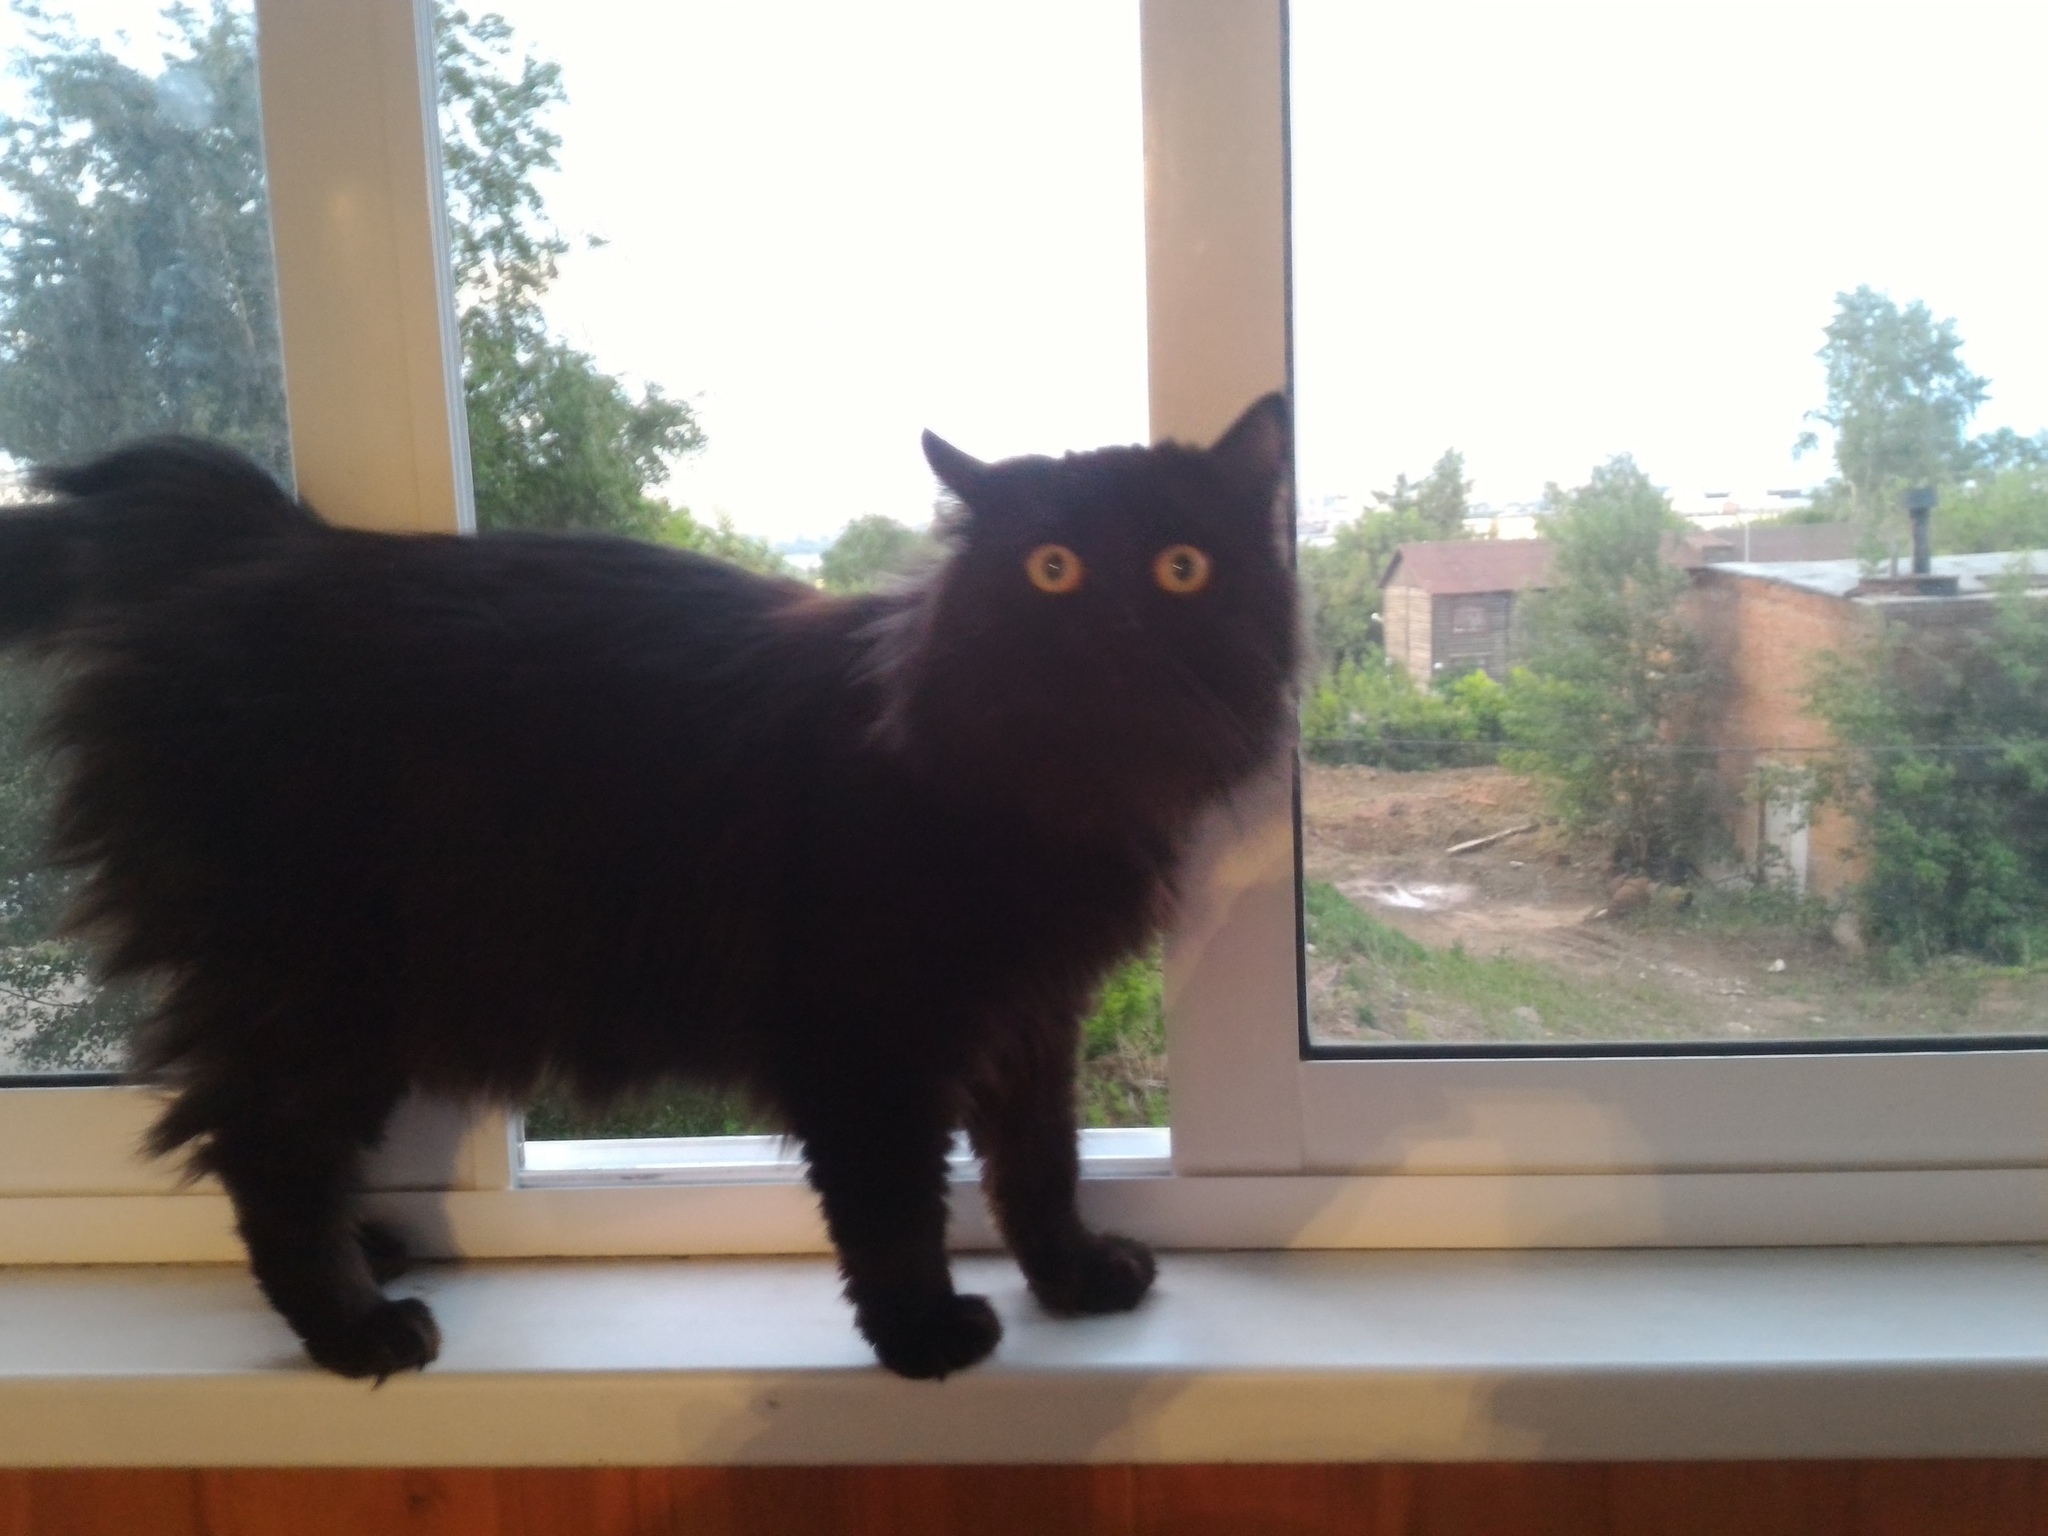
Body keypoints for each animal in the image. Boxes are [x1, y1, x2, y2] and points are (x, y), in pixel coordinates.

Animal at [0, 394, 1297, 1380]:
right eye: (1052, 570)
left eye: (1183, 567)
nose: (1120, 621)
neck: (1048, 794)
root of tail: (257, 543)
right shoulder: (866, 1038)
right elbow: (891, 1207)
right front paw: (923, 1340)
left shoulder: (1030, 1014)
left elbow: (1039, 1162)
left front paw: (1072, 1279)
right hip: (326, 981)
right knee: (263, 1149)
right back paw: (359, 1327)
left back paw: (368, 1255)